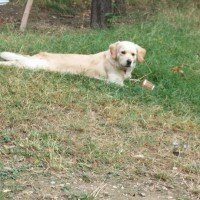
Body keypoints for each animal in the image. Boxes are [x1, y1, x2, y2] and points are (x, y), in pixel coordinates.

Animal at [0, 41, 145, 85]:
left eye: (133, 54)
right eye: (122, 52)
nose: (129, 61)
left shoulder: (127, 78)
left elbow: (135, 81)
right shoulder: (115, 83)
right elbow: (129, 85)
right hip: (34, 66)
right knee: (14, 63)